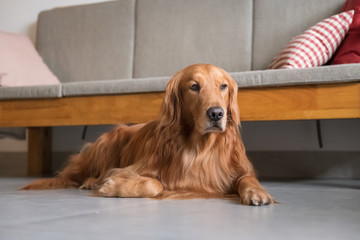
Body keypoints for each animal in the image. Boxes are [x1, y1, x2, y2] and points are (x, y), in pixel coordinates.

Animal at [21, 64, 276, 206]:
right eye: (194, 86)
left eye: (223, 86)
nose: (216, 113)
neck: (199, 148)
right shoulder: (134, 168)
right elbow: (155, 184)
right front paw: (111, 187)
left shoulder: (237, 169)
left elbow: (247, 178)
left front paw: (258, 192)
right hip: (109, 141)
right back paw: (92, 181)